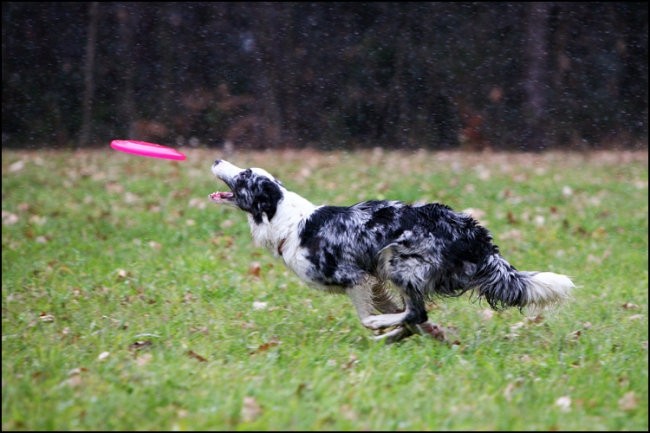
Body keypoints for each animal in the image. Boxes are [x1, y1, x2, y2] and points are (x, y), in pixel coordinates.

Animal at [209, 157, 572, 342]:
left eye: (244, 174)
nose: (216, 158)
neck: (284, 218)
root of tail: (475, 234)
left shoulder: (354, 277)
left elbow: (371, 313)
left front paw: (378, 324)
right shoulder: (374, 281)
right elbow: (401, 314)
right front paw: (421, 333)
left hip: (397, 261)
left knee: (416, 312)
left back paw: (383, 330)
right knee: (414, 316)